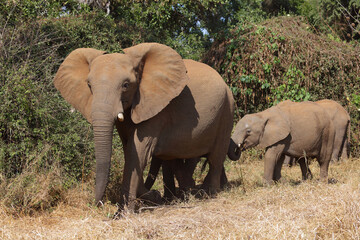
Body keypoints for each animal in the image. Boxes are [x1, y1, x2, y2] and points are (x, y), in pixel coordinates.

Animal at [52, 42, 233, 210]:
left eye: (126, 85)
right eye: (89, 86)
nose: (97, 204)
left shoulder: (156, 108)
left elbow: (138, 150)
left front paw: (123, 213)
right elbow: (129, 151)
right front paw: (153, 197)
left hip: (226, 110)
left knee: (216, 158)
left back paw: (210, 194)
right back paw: (186, 195)